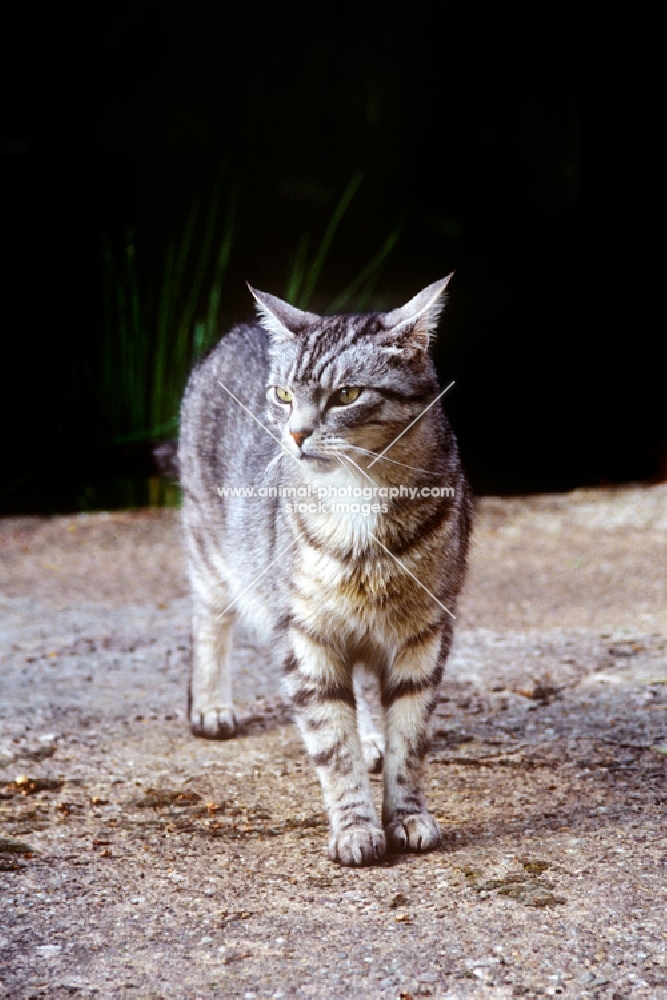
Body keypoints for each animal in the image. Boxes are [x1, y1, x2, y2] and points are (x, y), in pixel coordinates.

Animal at [180, 276, 472, 868]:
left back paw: (371, 737)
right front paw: (356, 828)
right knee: (208, 621)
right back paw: (213, 706)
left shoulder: (425, 632)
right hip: (212, 550)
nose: (295, 434)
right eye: (283, 396)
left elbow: (409, 740)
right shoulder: (305, 633)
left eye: (346, 396)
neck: (358, 496)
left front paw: (406, 815)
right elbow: (332, 745)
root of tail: (238, 331)